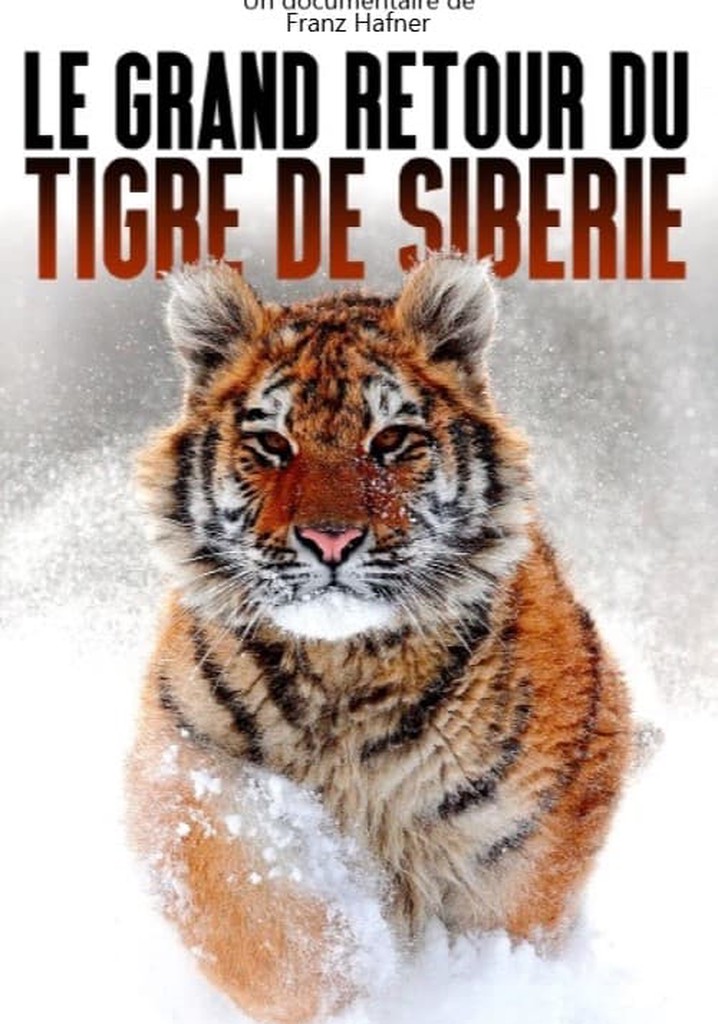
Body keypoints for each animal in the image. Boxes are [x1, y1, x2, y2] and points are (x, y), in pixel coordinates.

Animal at [127, 255, 632, 1023]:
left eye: (390, 441)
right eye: (272, 444)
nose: (330, 539)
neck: (344, 669)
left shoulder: (529, 826)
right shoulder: (186, 760)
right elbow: (250, 912)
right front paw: (346, 981)